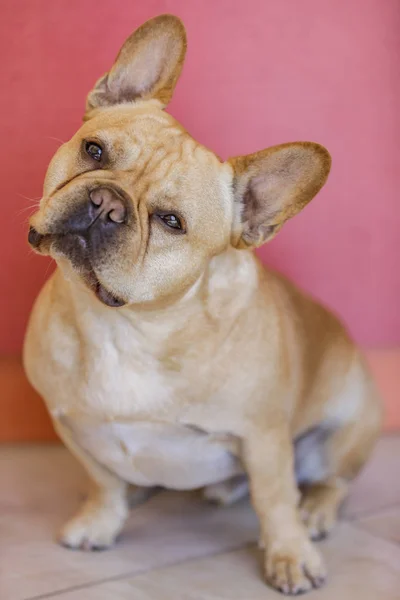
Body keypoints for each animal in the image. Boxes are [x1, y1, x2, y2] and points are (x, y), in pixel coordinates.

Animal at [24, 14, 382, 596]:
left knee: (326, 482)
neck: (128, 326)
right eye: (94, 151)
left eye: (172, 221)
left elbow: (275, 501)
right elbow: (103, 481)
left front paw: (290, 555)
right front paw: (100, 521)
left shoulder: (262, 437)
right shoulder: (72, 427)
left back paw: (314, 513)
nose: (105, 202)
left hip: (344, 430)